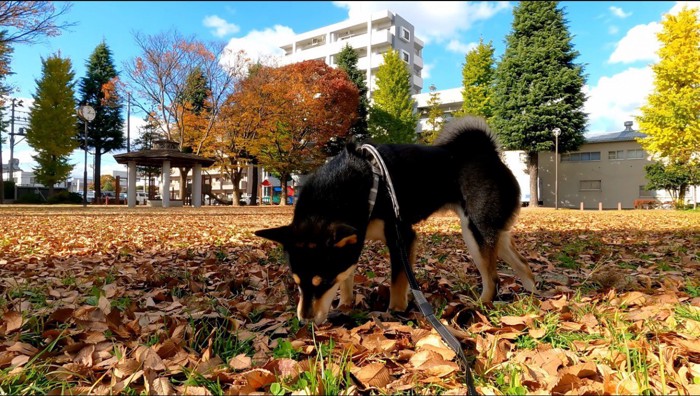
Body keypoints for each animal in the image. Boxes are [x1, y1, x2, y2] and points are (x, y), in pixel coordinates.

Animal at [256, 116, 536, 324]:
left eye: (322, 282)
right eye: (296, 284)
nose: (304, 321)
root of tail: (489, 154)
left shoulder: (401, 236)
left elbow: (397, 281)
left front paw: (396, 310)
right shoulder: (356, 241)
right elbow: (348, 276)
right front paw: (345, 304)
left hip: (476, 232)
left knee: (494, 278)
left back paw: (482, 304)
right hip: (490, 234)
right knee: (524, 266)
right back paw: (534, 297)